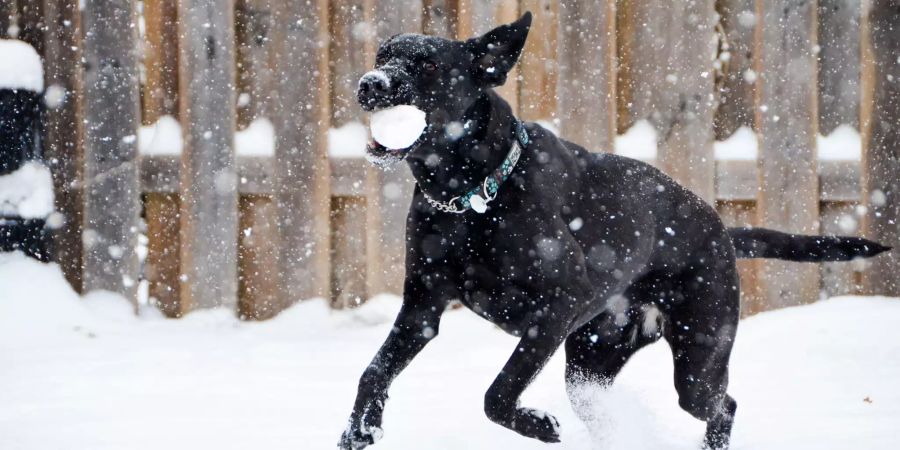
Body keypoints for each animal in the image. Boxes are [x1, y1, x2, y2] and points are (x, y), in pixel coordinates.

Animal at [340, 12, 892, 448]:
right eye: (382, 54)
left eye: (430, 66)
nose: (370, 83)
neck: (472, 198)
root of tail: (717, 224)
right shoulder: (422, 307)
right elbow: (372, 371)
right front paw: (358, 430)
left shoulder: (559, 301)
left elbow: (497, 392)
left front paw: (538, 425)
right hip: (591, 363)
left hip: (698, 357)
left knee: (723, 404)